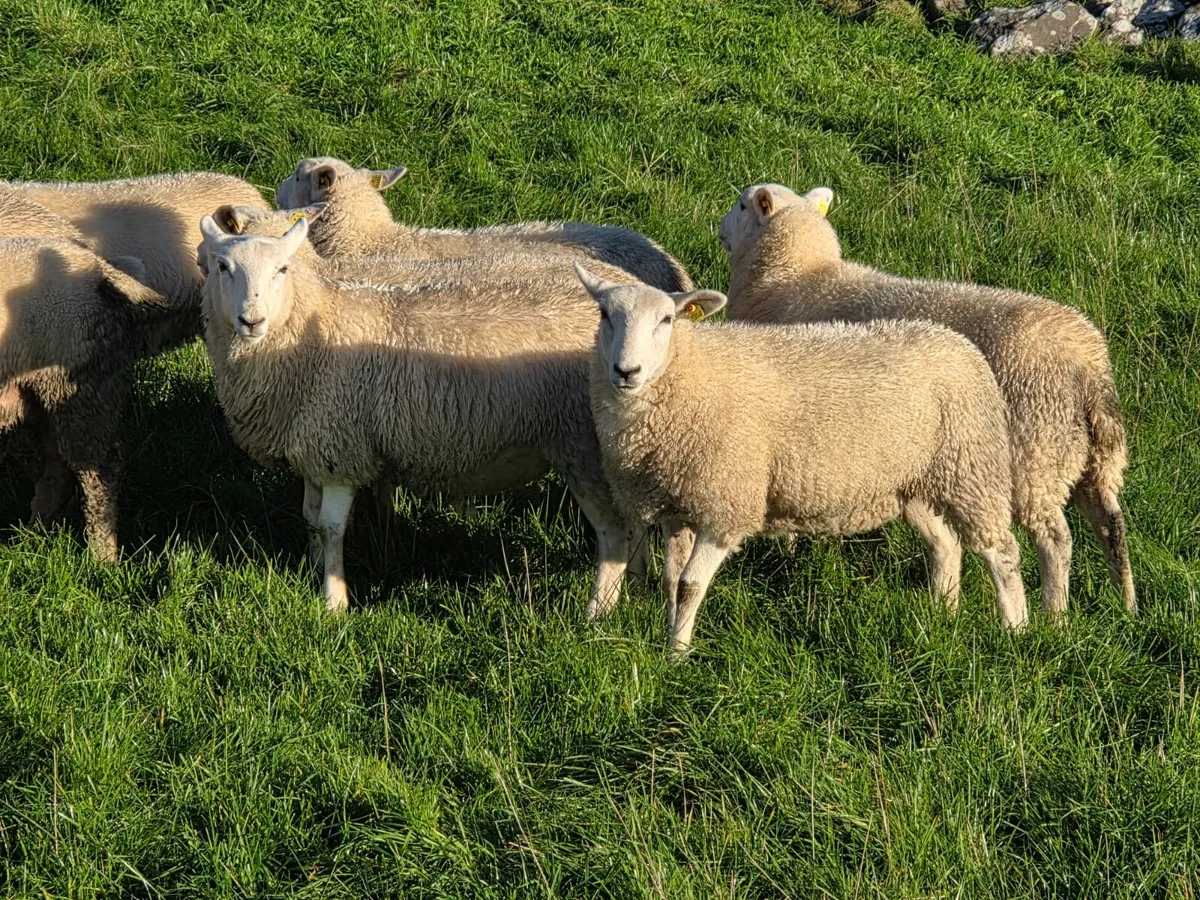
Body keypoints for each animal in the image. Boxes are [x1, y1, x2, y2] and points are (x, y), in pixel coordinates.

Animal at [0, 237, 168, 561]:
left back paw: (102, 556)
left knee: (100, 470)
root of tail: (99, 268)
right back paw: (36, 529)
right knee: (58, 465)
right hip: (46, 394)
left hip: (83, 390)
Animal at [197, 214, 644, 615]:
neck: (312, 324)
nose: (251, 319)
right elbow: (309, 519)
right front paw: (312, 571)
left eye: (282, 269)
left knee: (612, 533)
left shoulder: (342, 449)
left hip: (585, 449)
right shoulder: (313, 444)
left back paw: (598, 612)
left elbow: (331, 528)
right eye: (223, 267)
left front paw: (333, 602)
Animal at [577, 265, 1027, 654]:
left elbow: (689, 585)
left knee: (1001, 550)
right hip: (912, 482)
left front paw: (677, 654)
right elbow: (672, 581)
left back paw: (1015, 629)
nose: (627, 370)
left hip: (971, 467)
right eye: (605, 314)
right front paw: (670, 635)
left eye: (667, 320)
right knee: (945, 544)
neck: (688, 374)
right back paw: (942, 614)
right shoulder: (676, 505)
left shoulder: (728, 505)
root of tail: (955, 340)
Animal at [719, 183, 1135, 618]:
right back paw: (1125, 605)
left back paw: (1054, 615)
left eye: (743, 205)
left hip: (1031, 452)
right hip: (1090, 458)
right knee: (1111, 523)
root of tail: (1088, 361)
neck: (796, 277)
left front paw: (786, 551)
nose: (719, 229)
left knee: (1055, 538)